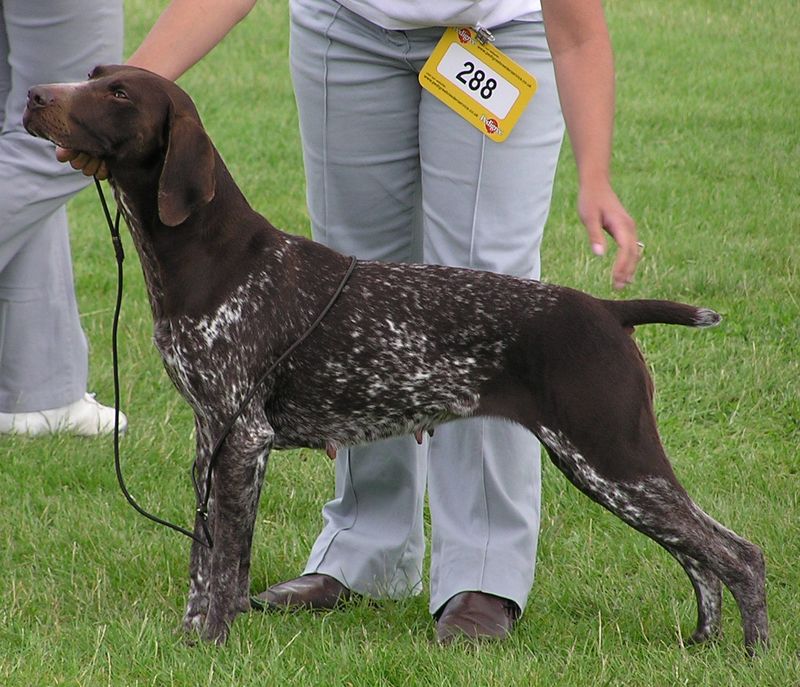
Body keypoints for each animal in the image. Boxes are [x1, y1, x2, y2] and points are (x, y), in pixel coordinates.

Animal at [25, 66, 768, 656]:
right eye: (92, 73)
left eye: (118, 92)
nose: (33, 94)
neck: (215, 258)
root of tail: (606, 310)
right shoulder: (211, 435)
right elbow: (203, 560)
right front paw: (188, 638)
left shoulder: (244, 439)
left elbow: (228, 563)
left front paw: (212, 643)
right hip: (612, 467)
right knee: (700, 556)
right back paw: (704, 642)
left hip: (612, 456)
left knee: (737, 553)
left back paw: (752, 652)